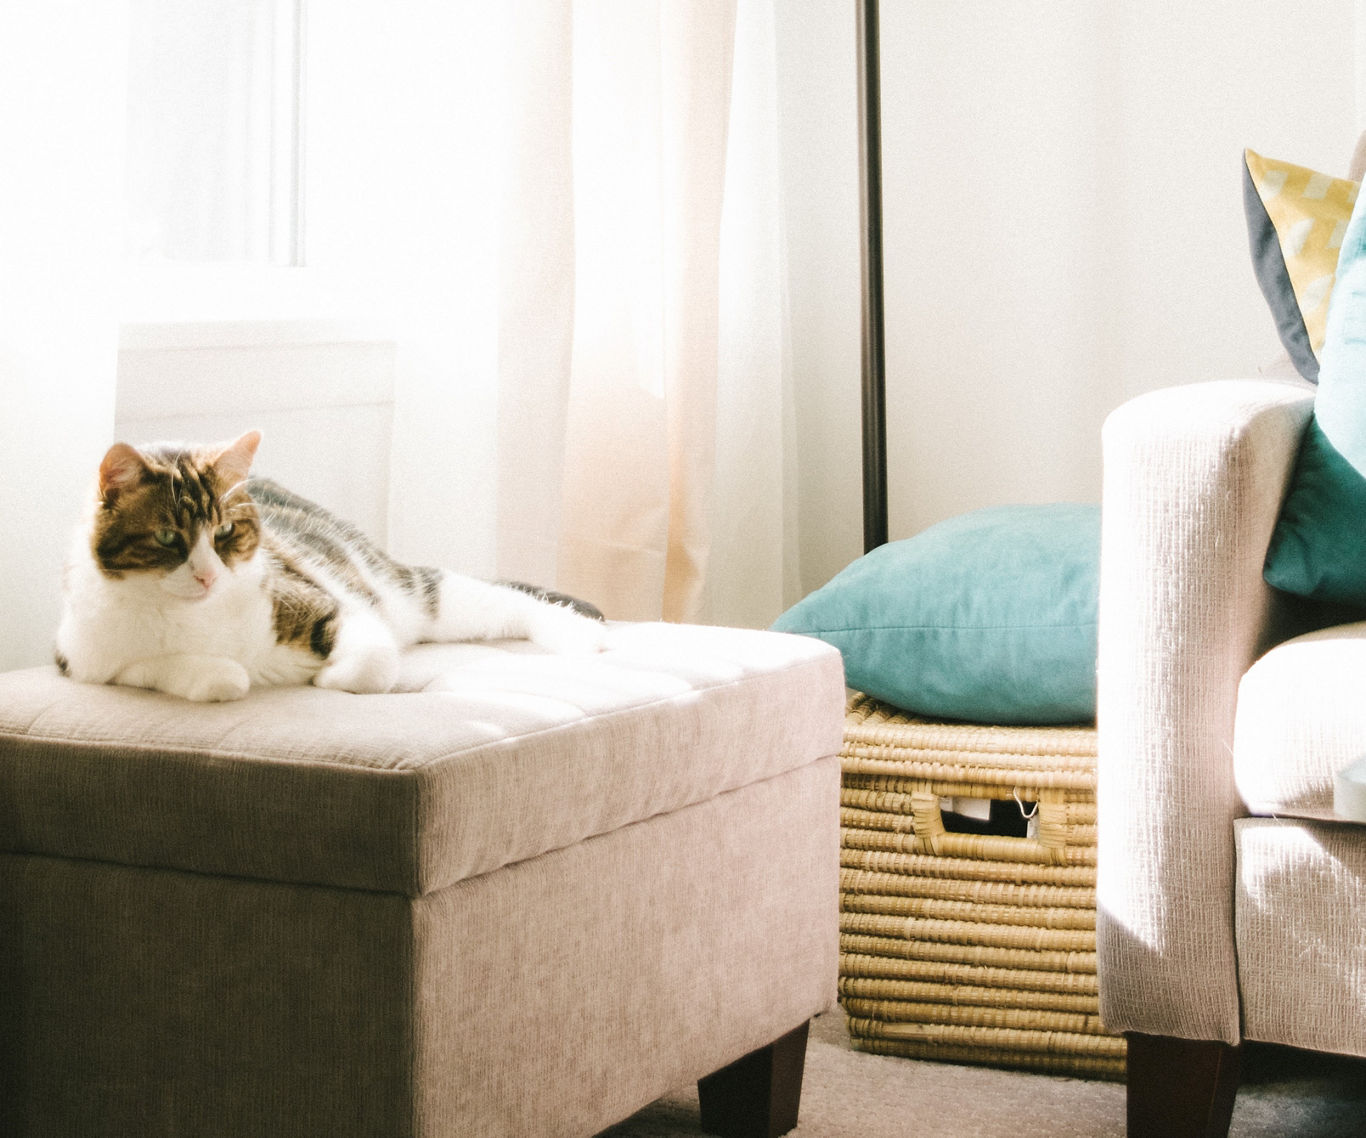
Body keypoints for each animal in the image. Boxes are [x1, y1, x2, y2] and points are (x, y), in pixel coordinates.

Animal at [56, 431, 606, 699]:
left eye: (225, 532)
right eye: (169, 537)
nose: (209, 575)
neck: (192, 617)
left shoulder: (327, 601)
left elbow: (375, 662)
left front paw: (328, 678)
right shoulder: (84, 659)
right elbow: (215, 678)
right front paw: (230, 672)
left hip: (400, 590)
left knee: (497, 598)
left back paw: (582, 635)